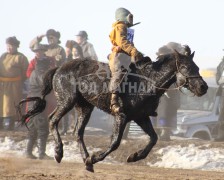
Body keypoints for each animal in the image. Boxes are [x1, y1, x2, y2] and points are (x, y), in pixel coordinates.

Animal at [17, 45, 208, 172]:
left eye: (197, 67)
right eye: (185, 67)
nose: (203, 87)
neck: (145, 81)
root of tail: (59, 68)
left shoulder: (141, 117)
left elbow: (153, 138)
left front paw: (134, 156)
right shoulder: (121, 116)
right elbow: (115, 142)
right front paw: (95, 158)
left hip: (84, 107)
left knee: (78, 132)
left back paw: (85, 160)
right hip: (67, 101)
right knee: (53, 120)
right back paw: (59, 152)